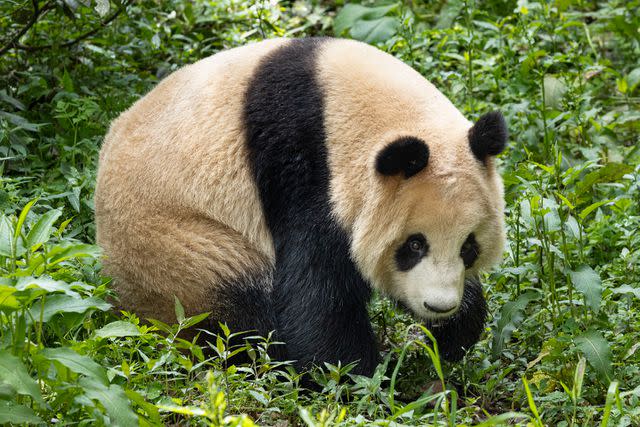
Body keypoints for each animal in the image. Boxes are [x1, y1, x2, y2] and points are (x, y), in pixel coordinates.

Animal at [95, 37, 508, 378]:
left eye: (469, 247)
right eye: (414, 244)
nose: (439, 306)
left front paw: (454, 334)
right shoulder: (302, 168)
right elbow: (315, 294)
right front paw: (357, 375)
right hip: (179, 250)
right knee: (237, 307)